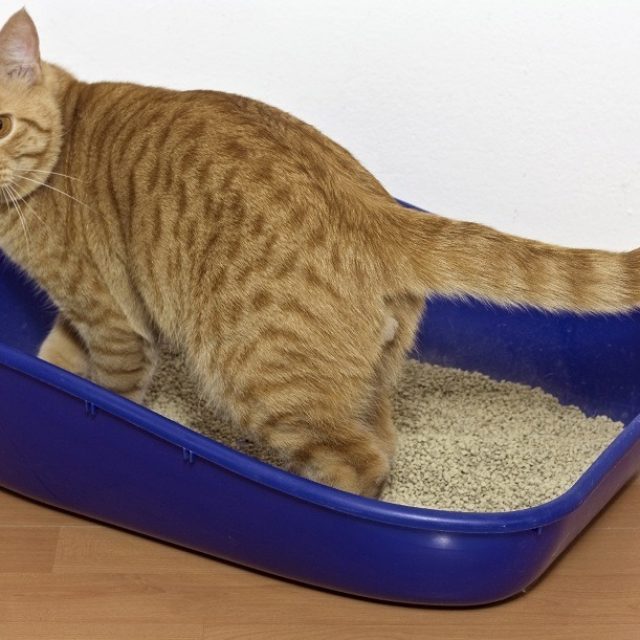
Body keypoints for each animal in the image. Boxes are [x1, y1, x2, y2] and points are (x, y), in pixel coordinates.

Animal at [0, 8, 638, 497]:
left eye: (2, 124)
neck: (61, 154)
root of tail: (371, 207)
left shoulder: (112, 322)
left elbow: (111, 394)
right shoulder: (79, 316)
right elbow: (55, 355)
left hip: (258, 380)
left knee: (357, 464)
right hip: (368, 382)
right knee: (383, 441)